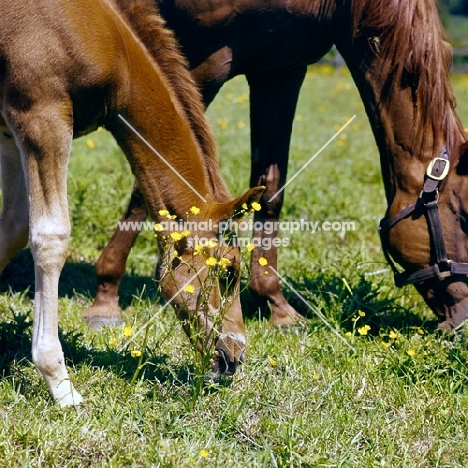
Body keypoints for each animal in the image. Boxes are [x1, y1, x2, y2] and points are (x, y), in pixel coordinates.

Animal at [0, 0, 264, 406]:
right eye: (228, 271)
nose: (235, 356)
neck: (112, 45)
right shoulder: (40, 118)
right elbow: (50, 237)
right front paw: (61, 384)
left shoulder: (7, 132)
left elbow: (11, 227)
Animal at [86, 0, 468, 330]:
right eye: (464, 217)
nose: (462, 322)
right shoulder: (208, 60)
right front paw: (106, 297)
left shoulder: (280, 69)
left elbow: (270, 190)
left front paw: (276, 305)